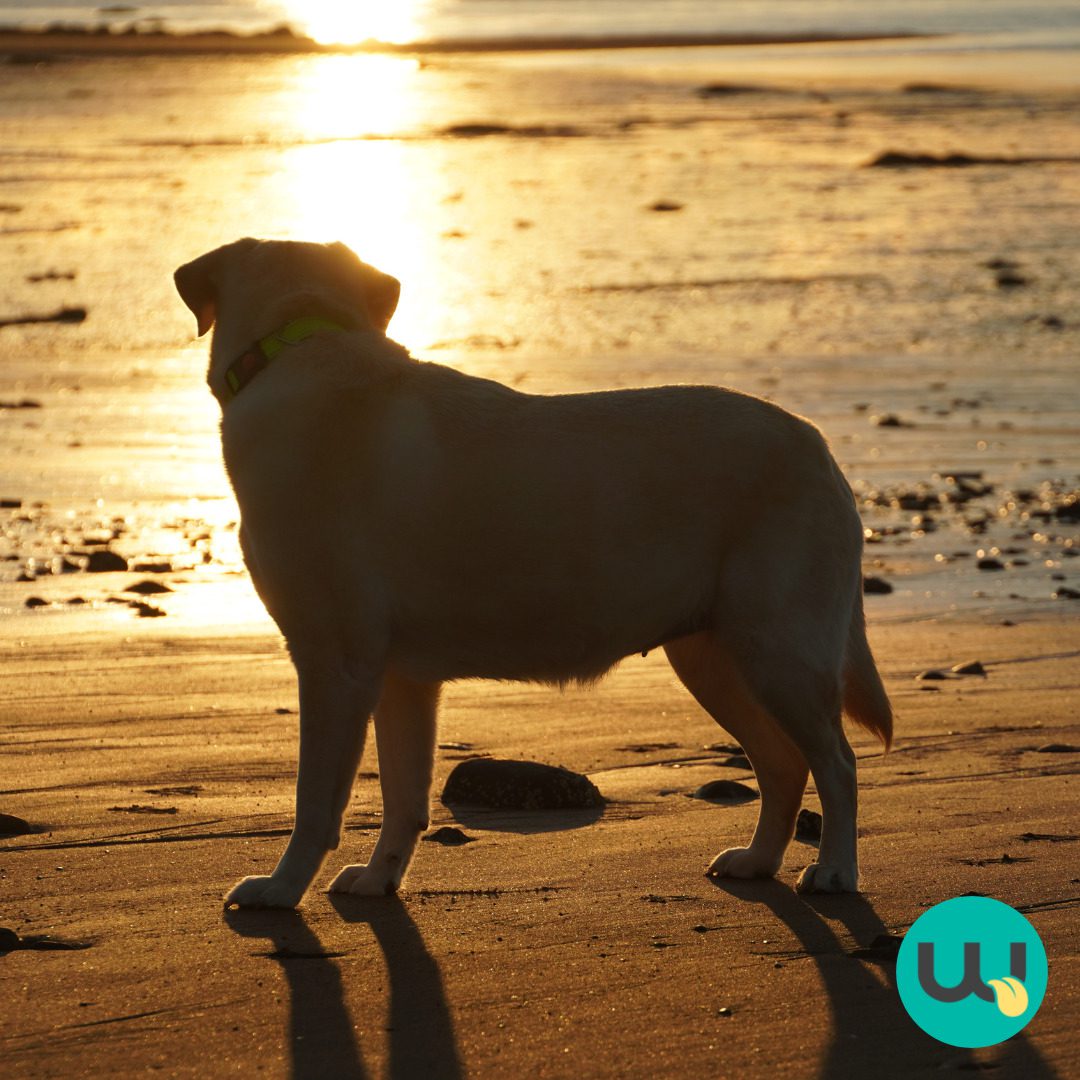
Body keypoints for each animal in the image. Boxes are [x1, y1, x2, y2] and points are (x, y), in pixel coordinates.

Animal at [172, 240, 889, 907]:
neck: (302, 337)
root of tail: (819, 446)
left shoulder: (334, 663)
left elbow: (315, 802)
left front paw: (280, 888)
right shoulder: (402, 677)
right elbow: (404, 797)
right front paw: (380, 879)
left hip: (779, 650)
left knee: (837, 762)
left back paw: (835, 870)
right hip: (715, 657)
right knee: (784, 763)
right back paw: (759, 860)